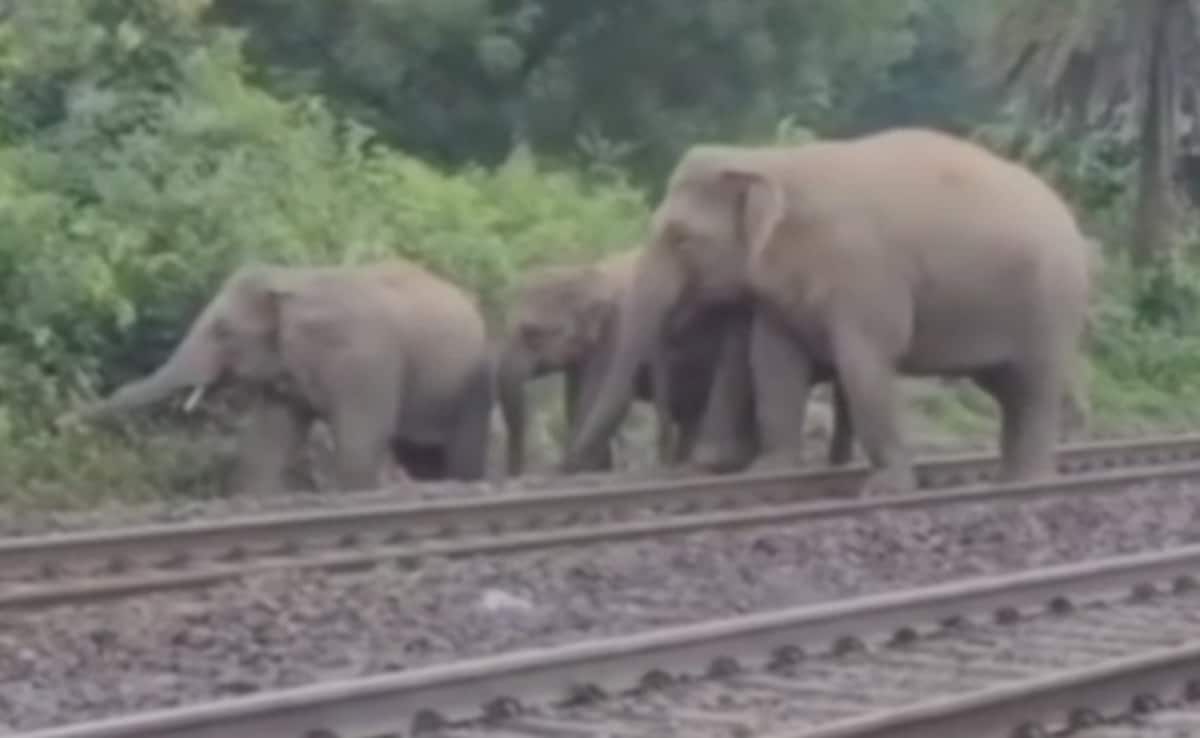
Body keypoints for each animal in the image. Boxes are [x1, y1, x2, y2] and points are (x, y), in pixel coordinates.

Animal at [67, 260, 495, 493]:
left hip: (472, 382)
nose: (63, 424)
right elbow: (268, 439)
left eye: (222, 331)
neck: (293, 279)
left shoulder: (364, 359)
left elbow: (361, 436)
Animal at [563, 127, 1092, 496]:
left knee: (1034, 384)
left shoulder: (865, 271)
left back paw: (1026, 484)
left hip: (1052, 301)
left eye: (681, 239)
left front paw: (885, 489)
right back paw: (1011, 478)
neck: (768, 161)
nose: (567, 469)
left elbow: (865, 362)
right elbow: (773, 362)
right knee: (1008, 388)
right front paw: (769, 473)